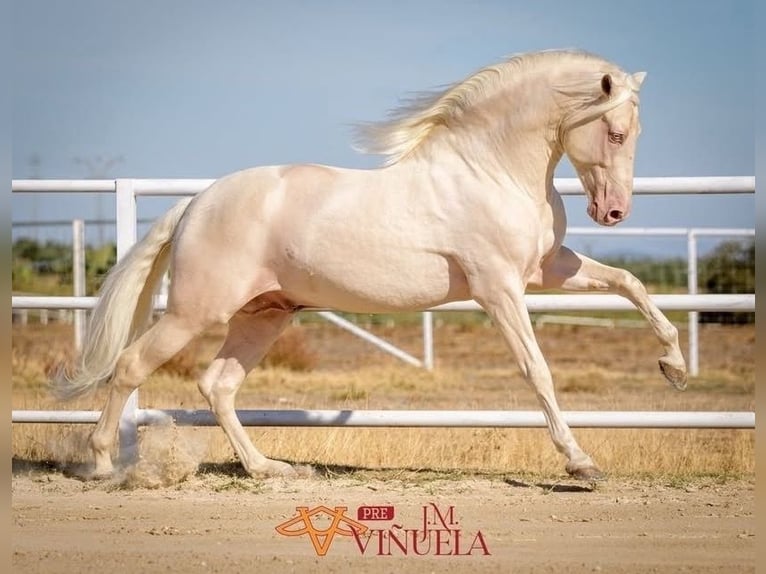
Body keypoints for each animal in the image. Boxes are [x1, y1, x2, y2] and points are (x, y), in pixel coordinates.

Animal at [53, 49, 687, 481]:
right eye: (615, 132)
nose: (613, 212)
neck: (491, 170)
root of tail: (196, 202)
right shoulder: (499, 288)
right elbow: (538, 371)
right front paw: (581, 463)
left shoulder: (547, 269)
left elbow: (630, 283)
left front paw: (674, 368)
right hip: (195, 311)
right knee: (131, 366)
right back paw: (103, 465)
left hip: (265, 314)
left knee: (218, 385)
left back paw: (269, 469)